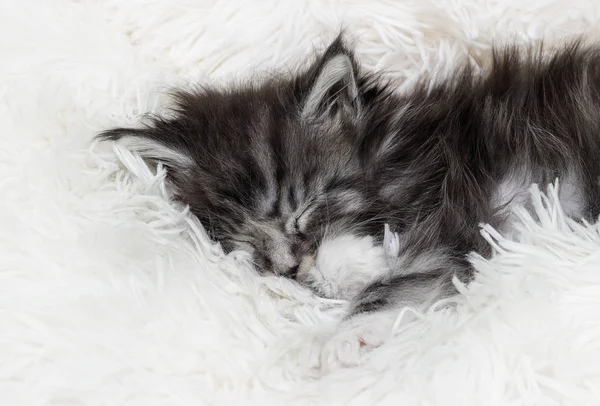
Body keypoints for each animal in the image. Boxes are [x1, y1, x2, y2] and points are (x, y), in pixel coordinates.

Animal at [102, 37, 600, 364]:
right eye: (245, 240)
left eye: (304, 210)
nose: (288, 268)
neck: (404, 149)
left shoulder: (459, 214)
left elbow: (395, 279)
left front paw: (341, 335)